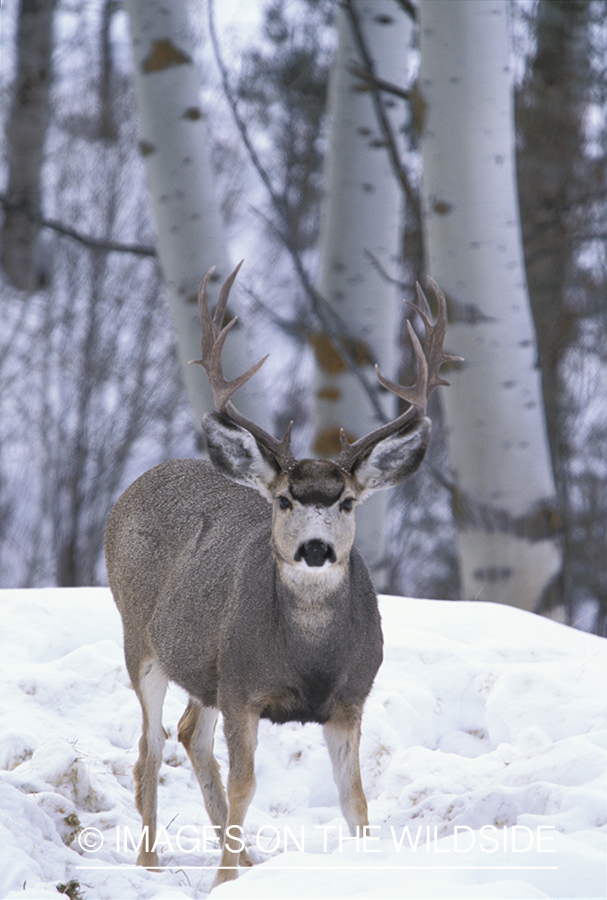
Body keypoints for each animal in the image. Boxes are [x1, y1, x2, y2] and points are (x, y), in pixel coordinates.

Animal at [104, 262, 458, 888]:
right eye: (285, 500)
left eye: (346, 502)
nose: (316, 549)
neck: (309, 659)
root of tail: (137, 484)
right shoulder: (243, 688)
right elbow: (246, 785)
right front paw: (224, 884)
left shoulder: (350, 698)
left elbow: (355, 800)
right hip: (140, 638)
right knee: (149, 745)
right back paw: (150, 864)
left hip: (205, 668)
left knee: (189, 732)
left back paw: (249, 858)